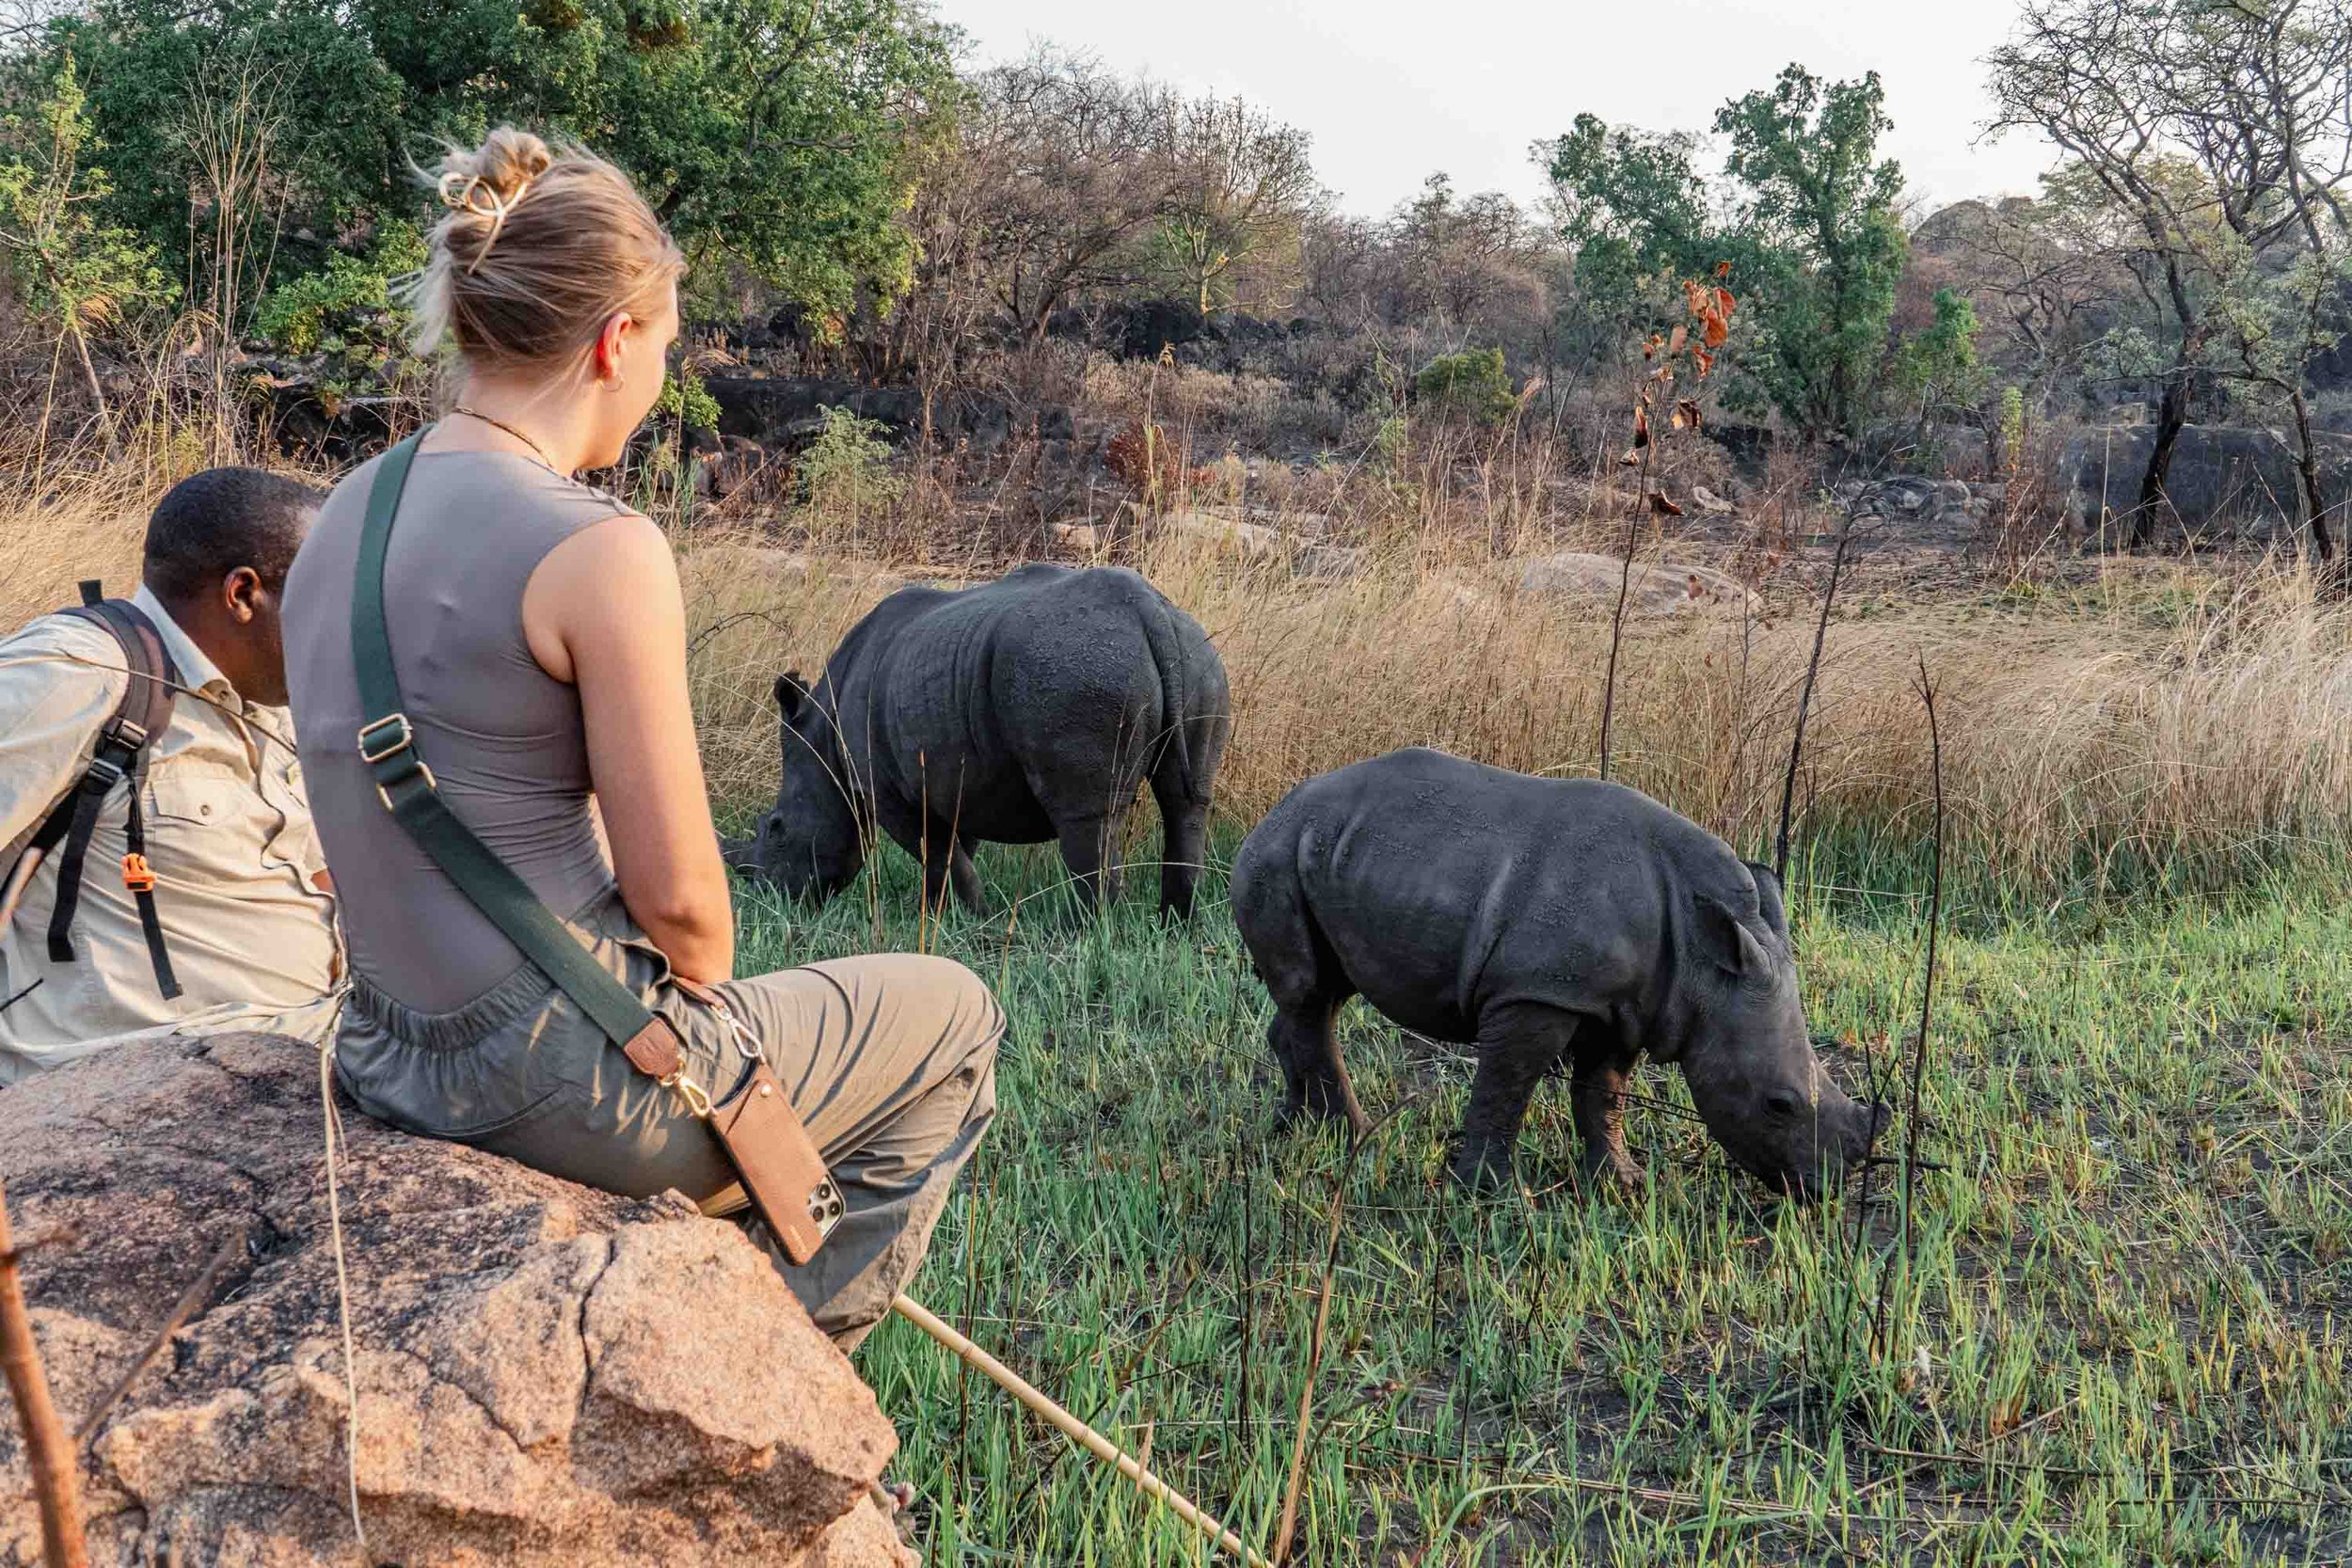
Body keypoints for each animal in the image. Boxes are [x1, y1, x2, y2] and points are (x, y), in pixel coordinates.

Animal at [734, 563, 1232, 921]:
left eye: (776, 827)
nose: (770, 897)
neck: (824, 739)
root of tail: (1148, 610)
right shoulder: (955, 770)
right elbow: (958, 847)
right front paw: (939, 915)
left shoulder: (885, 789)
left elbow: (936, 852)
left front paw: (973, 918)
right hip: (1197, 656)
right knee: (1187, 803)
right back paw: (1176, 925)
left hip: (1080, 665)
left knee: (1088, 814)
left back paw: (1085, 932)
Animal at [1232, 752, 1872, 1194]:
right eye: (1778, 1104)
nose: (1822, 1191)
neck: (1700, 958)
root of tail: (1277, 808)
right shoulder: (1538, 991)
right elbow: (1509, 1084)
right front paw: (1491, 1194)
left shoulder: (1629, 1004)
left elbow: (1603, 1093)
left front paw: (1622, 1183)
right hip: (1277, 856)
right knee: (1310, 993)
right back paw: (1356, 1137)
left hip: (1329, 857)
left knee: (1322, 994)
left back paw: (1294, 1126)